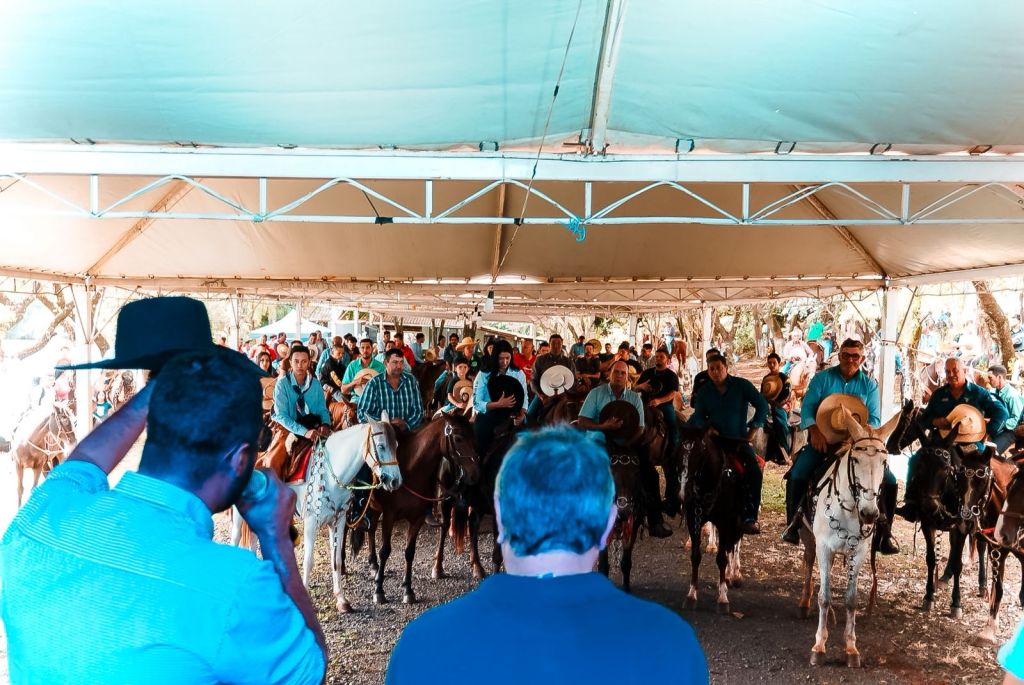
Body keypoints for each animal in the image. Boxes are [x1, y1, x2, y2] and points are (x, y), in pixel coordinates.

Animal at [353, 413, 480, 605]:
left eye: (474, 437)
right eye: (458, 438)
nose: (475, 474)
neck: (411, 470)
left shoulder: (417, 518)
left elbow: (409, 552)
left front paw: (408, 590)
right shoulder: (389, 516)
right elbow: (385, 551)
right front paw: (379, 591)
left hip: (375, 508)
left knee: (372, 529)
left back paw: (374, 565)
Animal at [800, 410, 899, 668]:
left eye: (884, 462)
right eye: (855, 460)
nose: (870, 514)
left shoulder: (859, 552)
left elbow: (851, 599)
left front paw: (851, 648)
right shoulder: (824, 548)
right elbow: (824, 597)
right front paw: (819, 646)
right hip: (808, 537)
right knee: (808, 562)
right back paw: (804, 603)